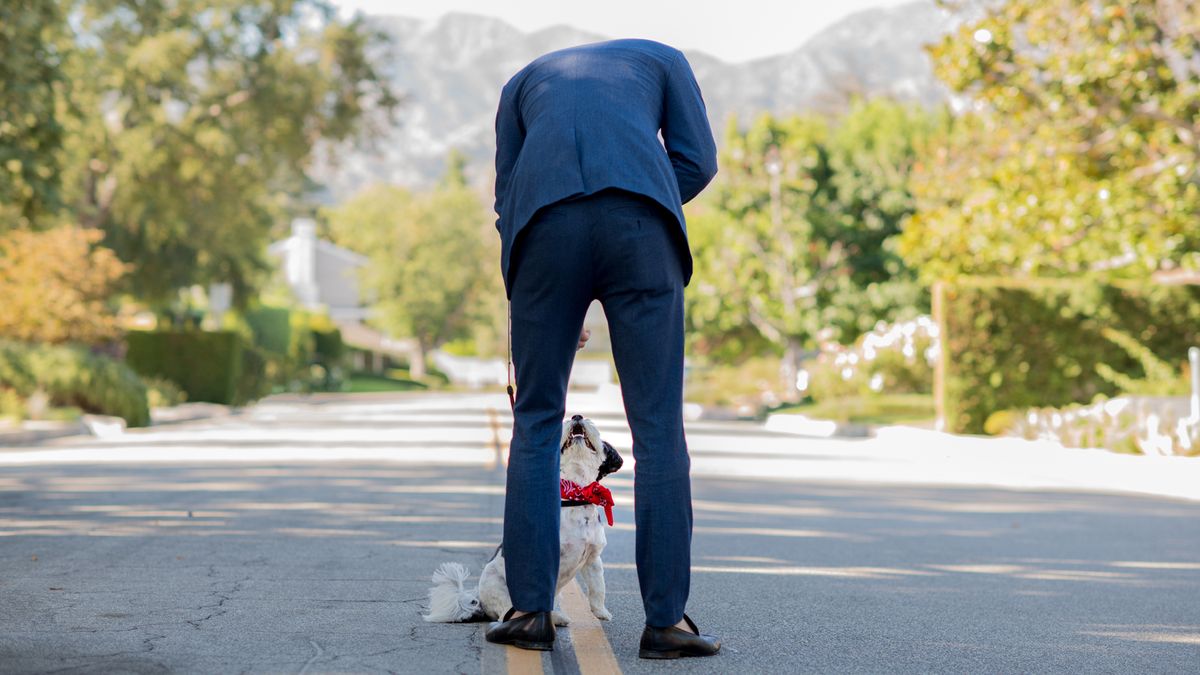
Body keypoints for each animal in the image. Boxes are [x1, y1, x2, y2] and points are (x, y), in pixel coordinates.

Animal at [422, 413, 624, 624]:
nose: (577, 416)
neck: (576, 496)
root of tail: (479, 598)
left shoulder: (593, 559)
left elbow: (597, 589)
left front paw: (601, 612)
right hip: (498, 588)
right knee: (505, 613)